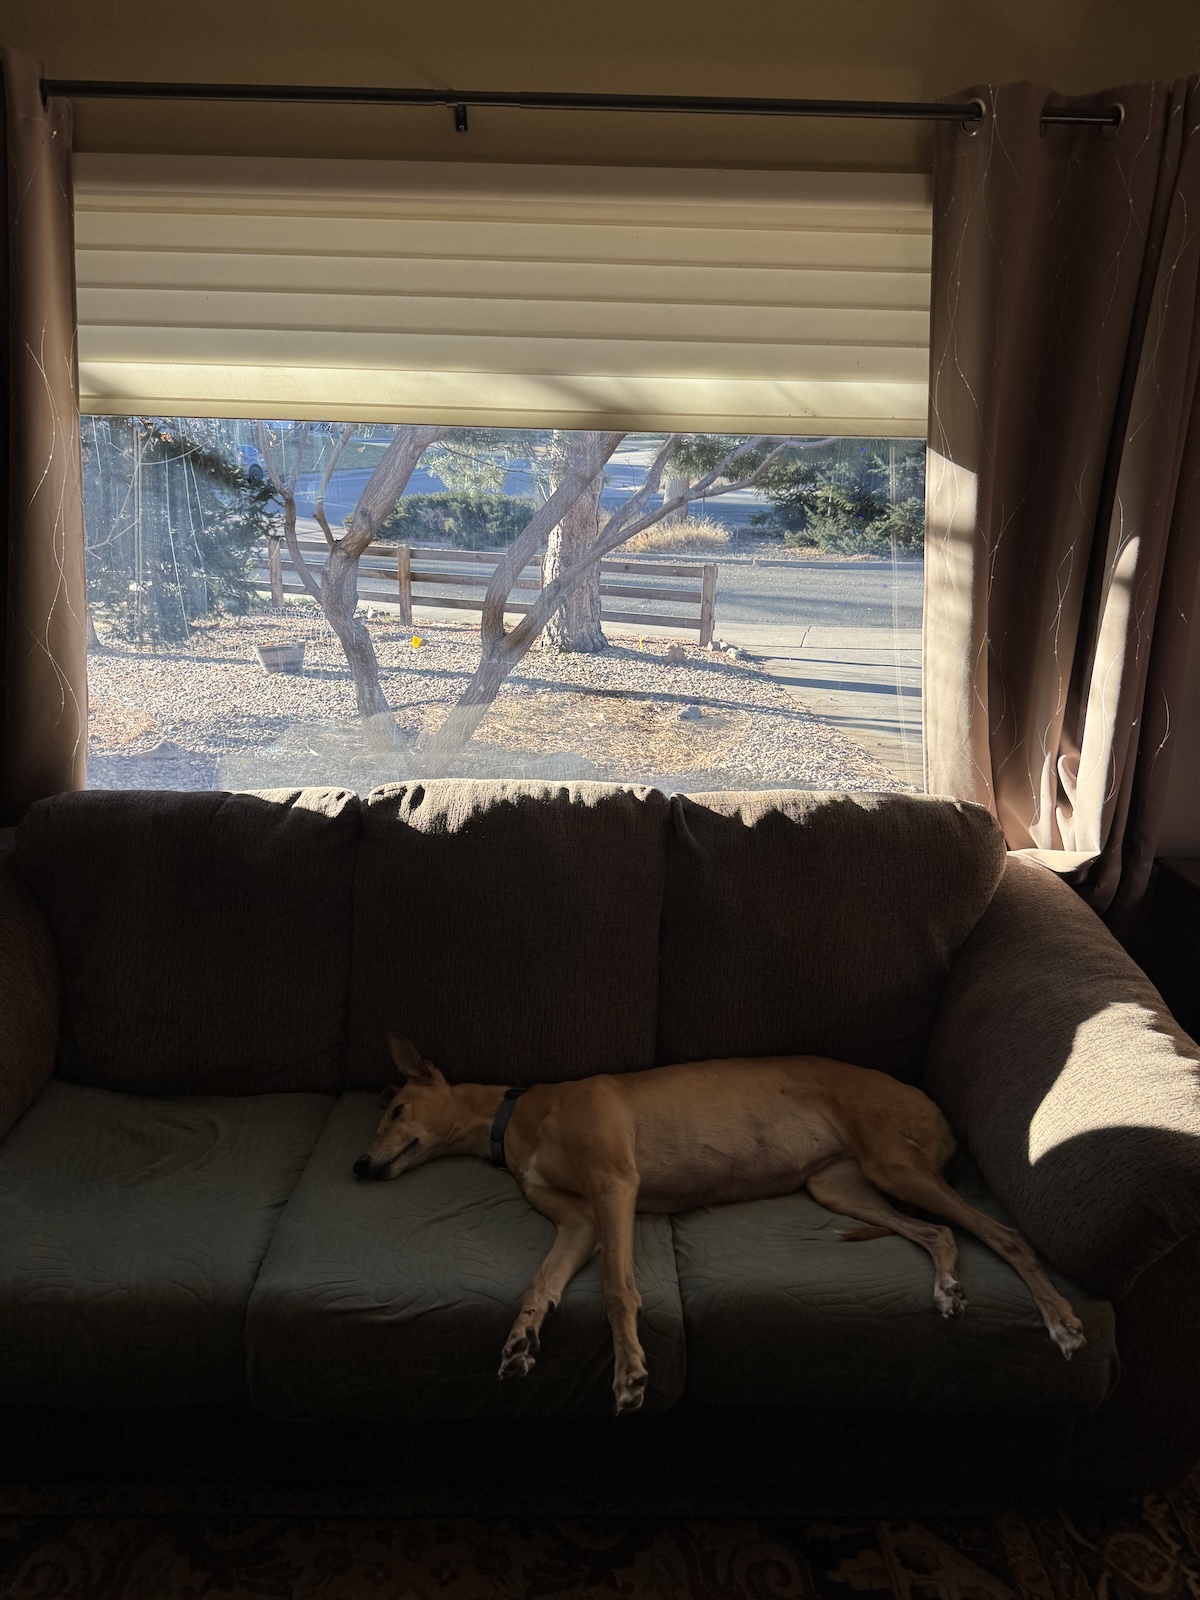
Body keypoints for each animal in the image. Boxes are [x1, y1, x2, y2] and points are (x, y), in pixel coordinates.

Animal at [355, 1034, 1085, 1415]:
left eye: (396, 1110)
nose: (359, 1166)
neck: (517, 1115)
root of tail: (931, 1105)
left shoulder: (615, 1185)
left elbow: (618, 1292)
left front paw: (630, 1372)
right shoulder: (579, 1222)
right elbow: (541, 1285)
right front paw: (520, 1342)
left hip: (894, 1165)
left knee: (1004, 1235)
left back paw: (1061, 1322)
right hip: (839, 1186)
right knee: (938, 1232)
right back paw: (948, 1289)